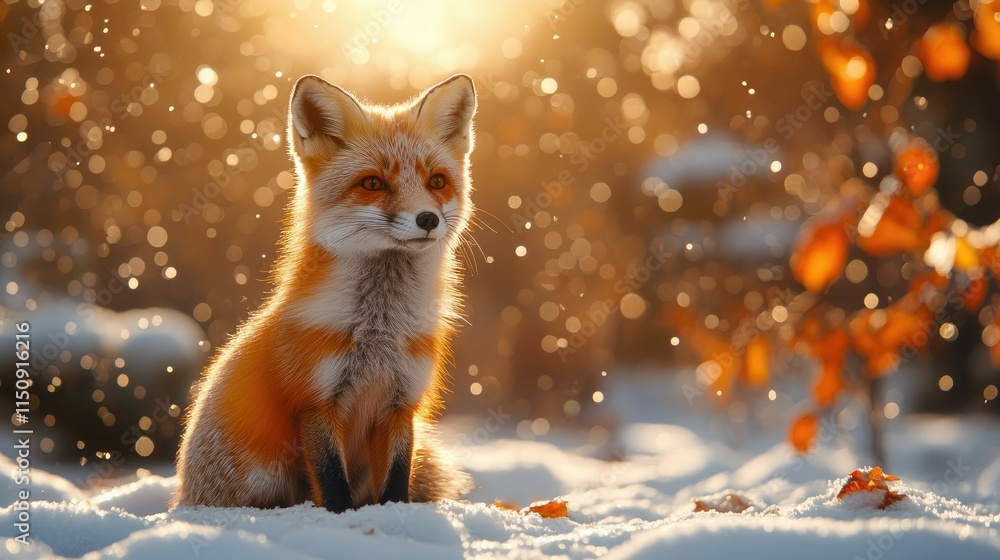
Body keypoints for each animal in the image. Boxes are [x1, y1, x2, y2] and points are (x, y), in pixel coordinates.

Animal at [172, 73, 477, 512]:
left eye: (437, 181)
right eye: (372, 183)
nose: (428, 219)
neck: (379, 330)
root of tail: (182, 499)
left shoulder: (401, 404)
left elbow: (397, 481)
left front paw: (397, 516)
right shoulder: (314, 403)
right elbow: (332, 483)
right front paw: (340, 519)